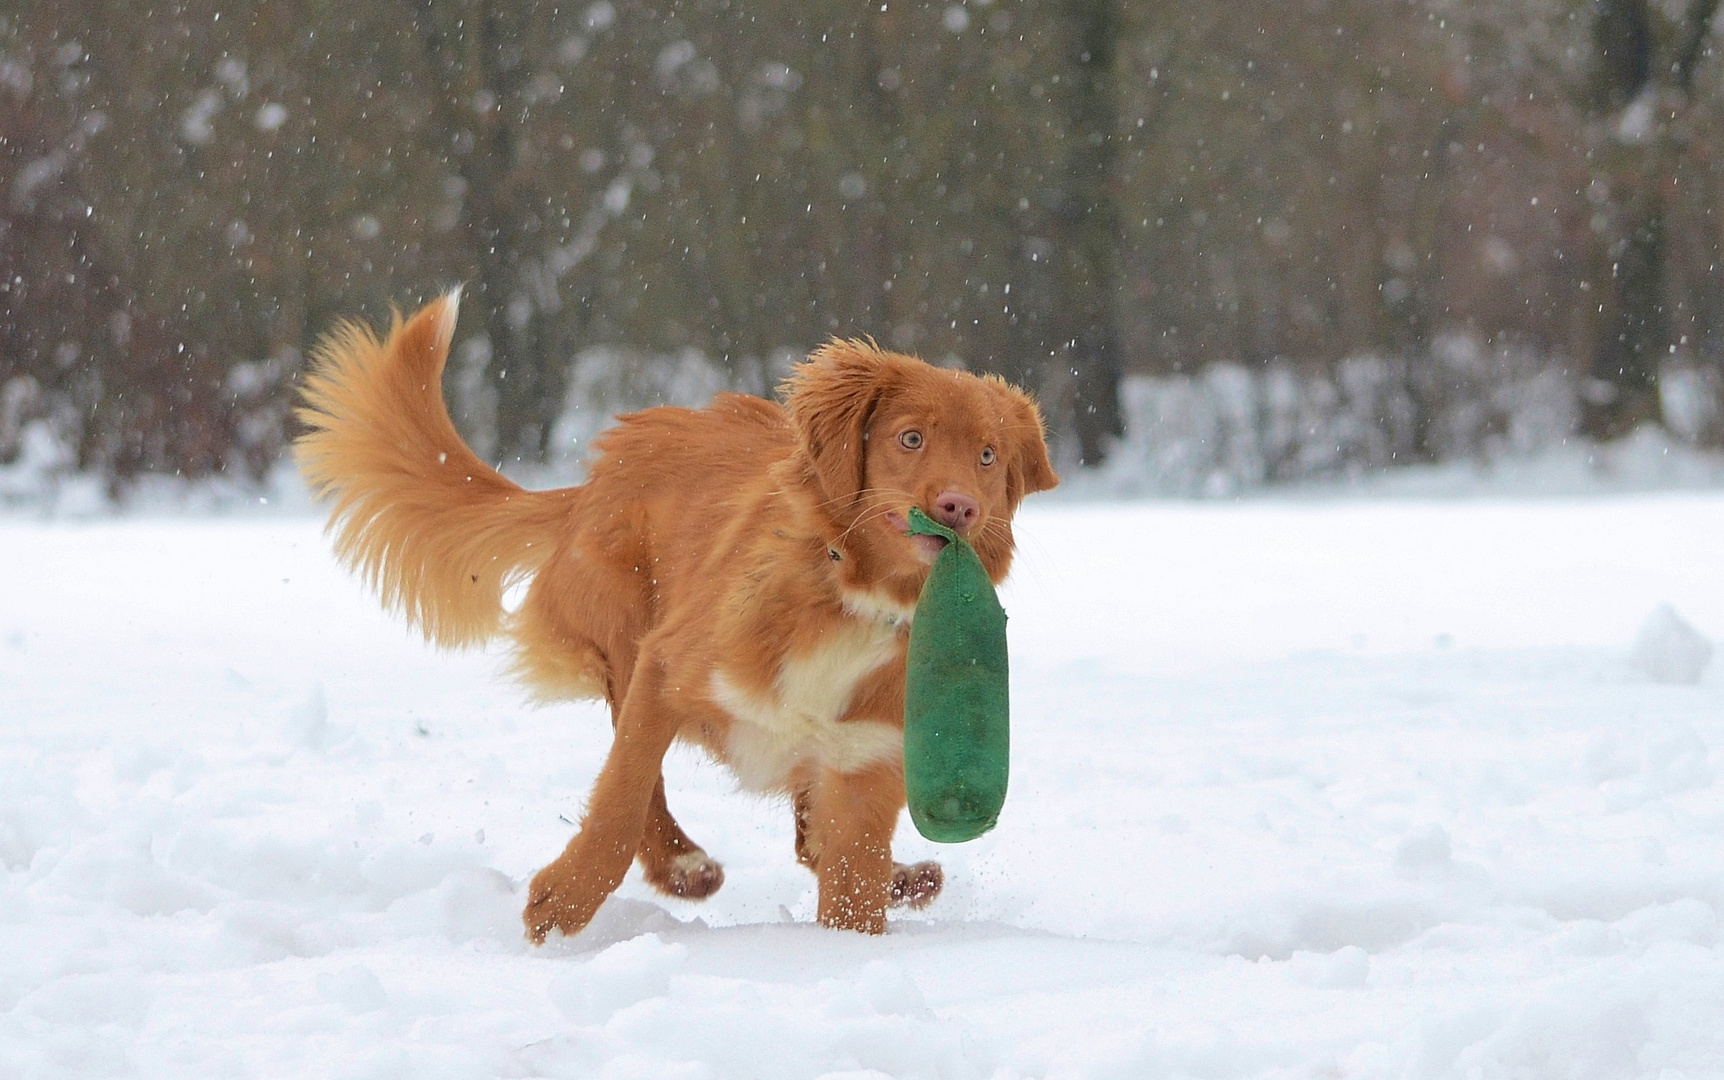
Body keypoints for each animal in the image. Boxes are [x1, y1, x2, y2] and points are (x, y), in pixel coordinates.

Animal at [293, 289, 1061, 938]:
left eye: (988, 455)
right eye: (910, 438)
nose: (959, 507)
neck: (856, 597)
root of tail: (593, 478)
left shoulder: (863, 770)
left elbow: (848, 889)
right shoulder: (670, 669)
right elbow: (621, 798)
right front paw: (564, 902)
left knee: (807, 844)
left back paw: (906, 877)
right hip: (627, 633)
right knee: (645, 782)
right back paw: (682, 867)